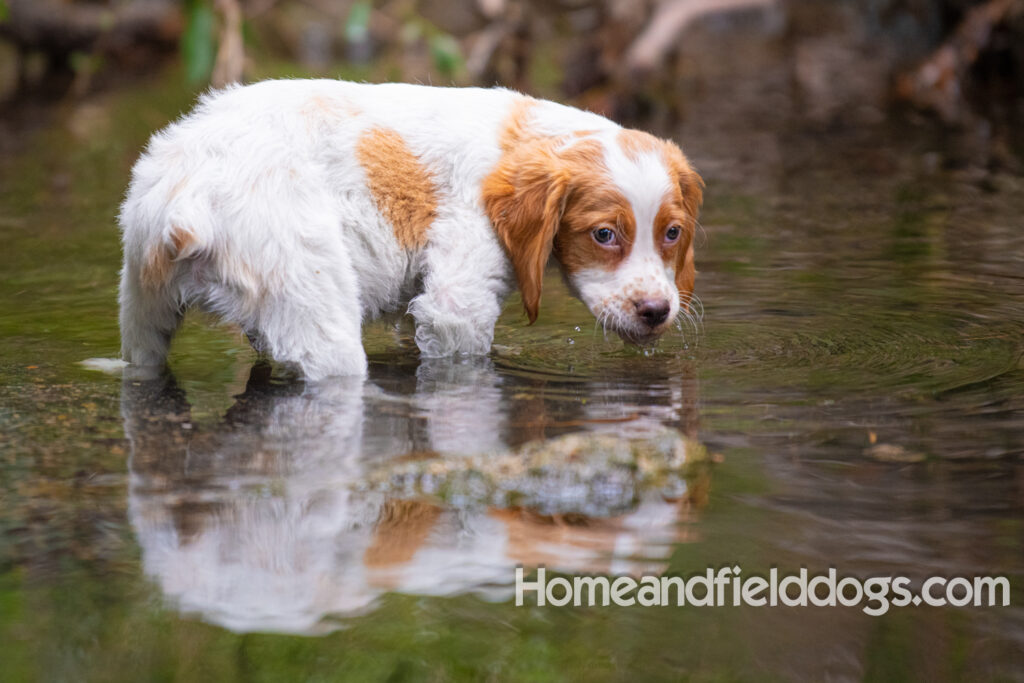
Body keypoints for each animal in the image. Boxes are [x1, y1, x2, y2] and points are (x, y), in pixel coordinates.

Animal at [116, 81, 700, 378]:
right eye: (603, 235)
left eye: (673, 234)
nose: (656, 312)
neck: (519, 140)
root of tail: (187, 195)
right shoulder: (457, 304)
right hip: (320, 319)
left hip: (142, 312)